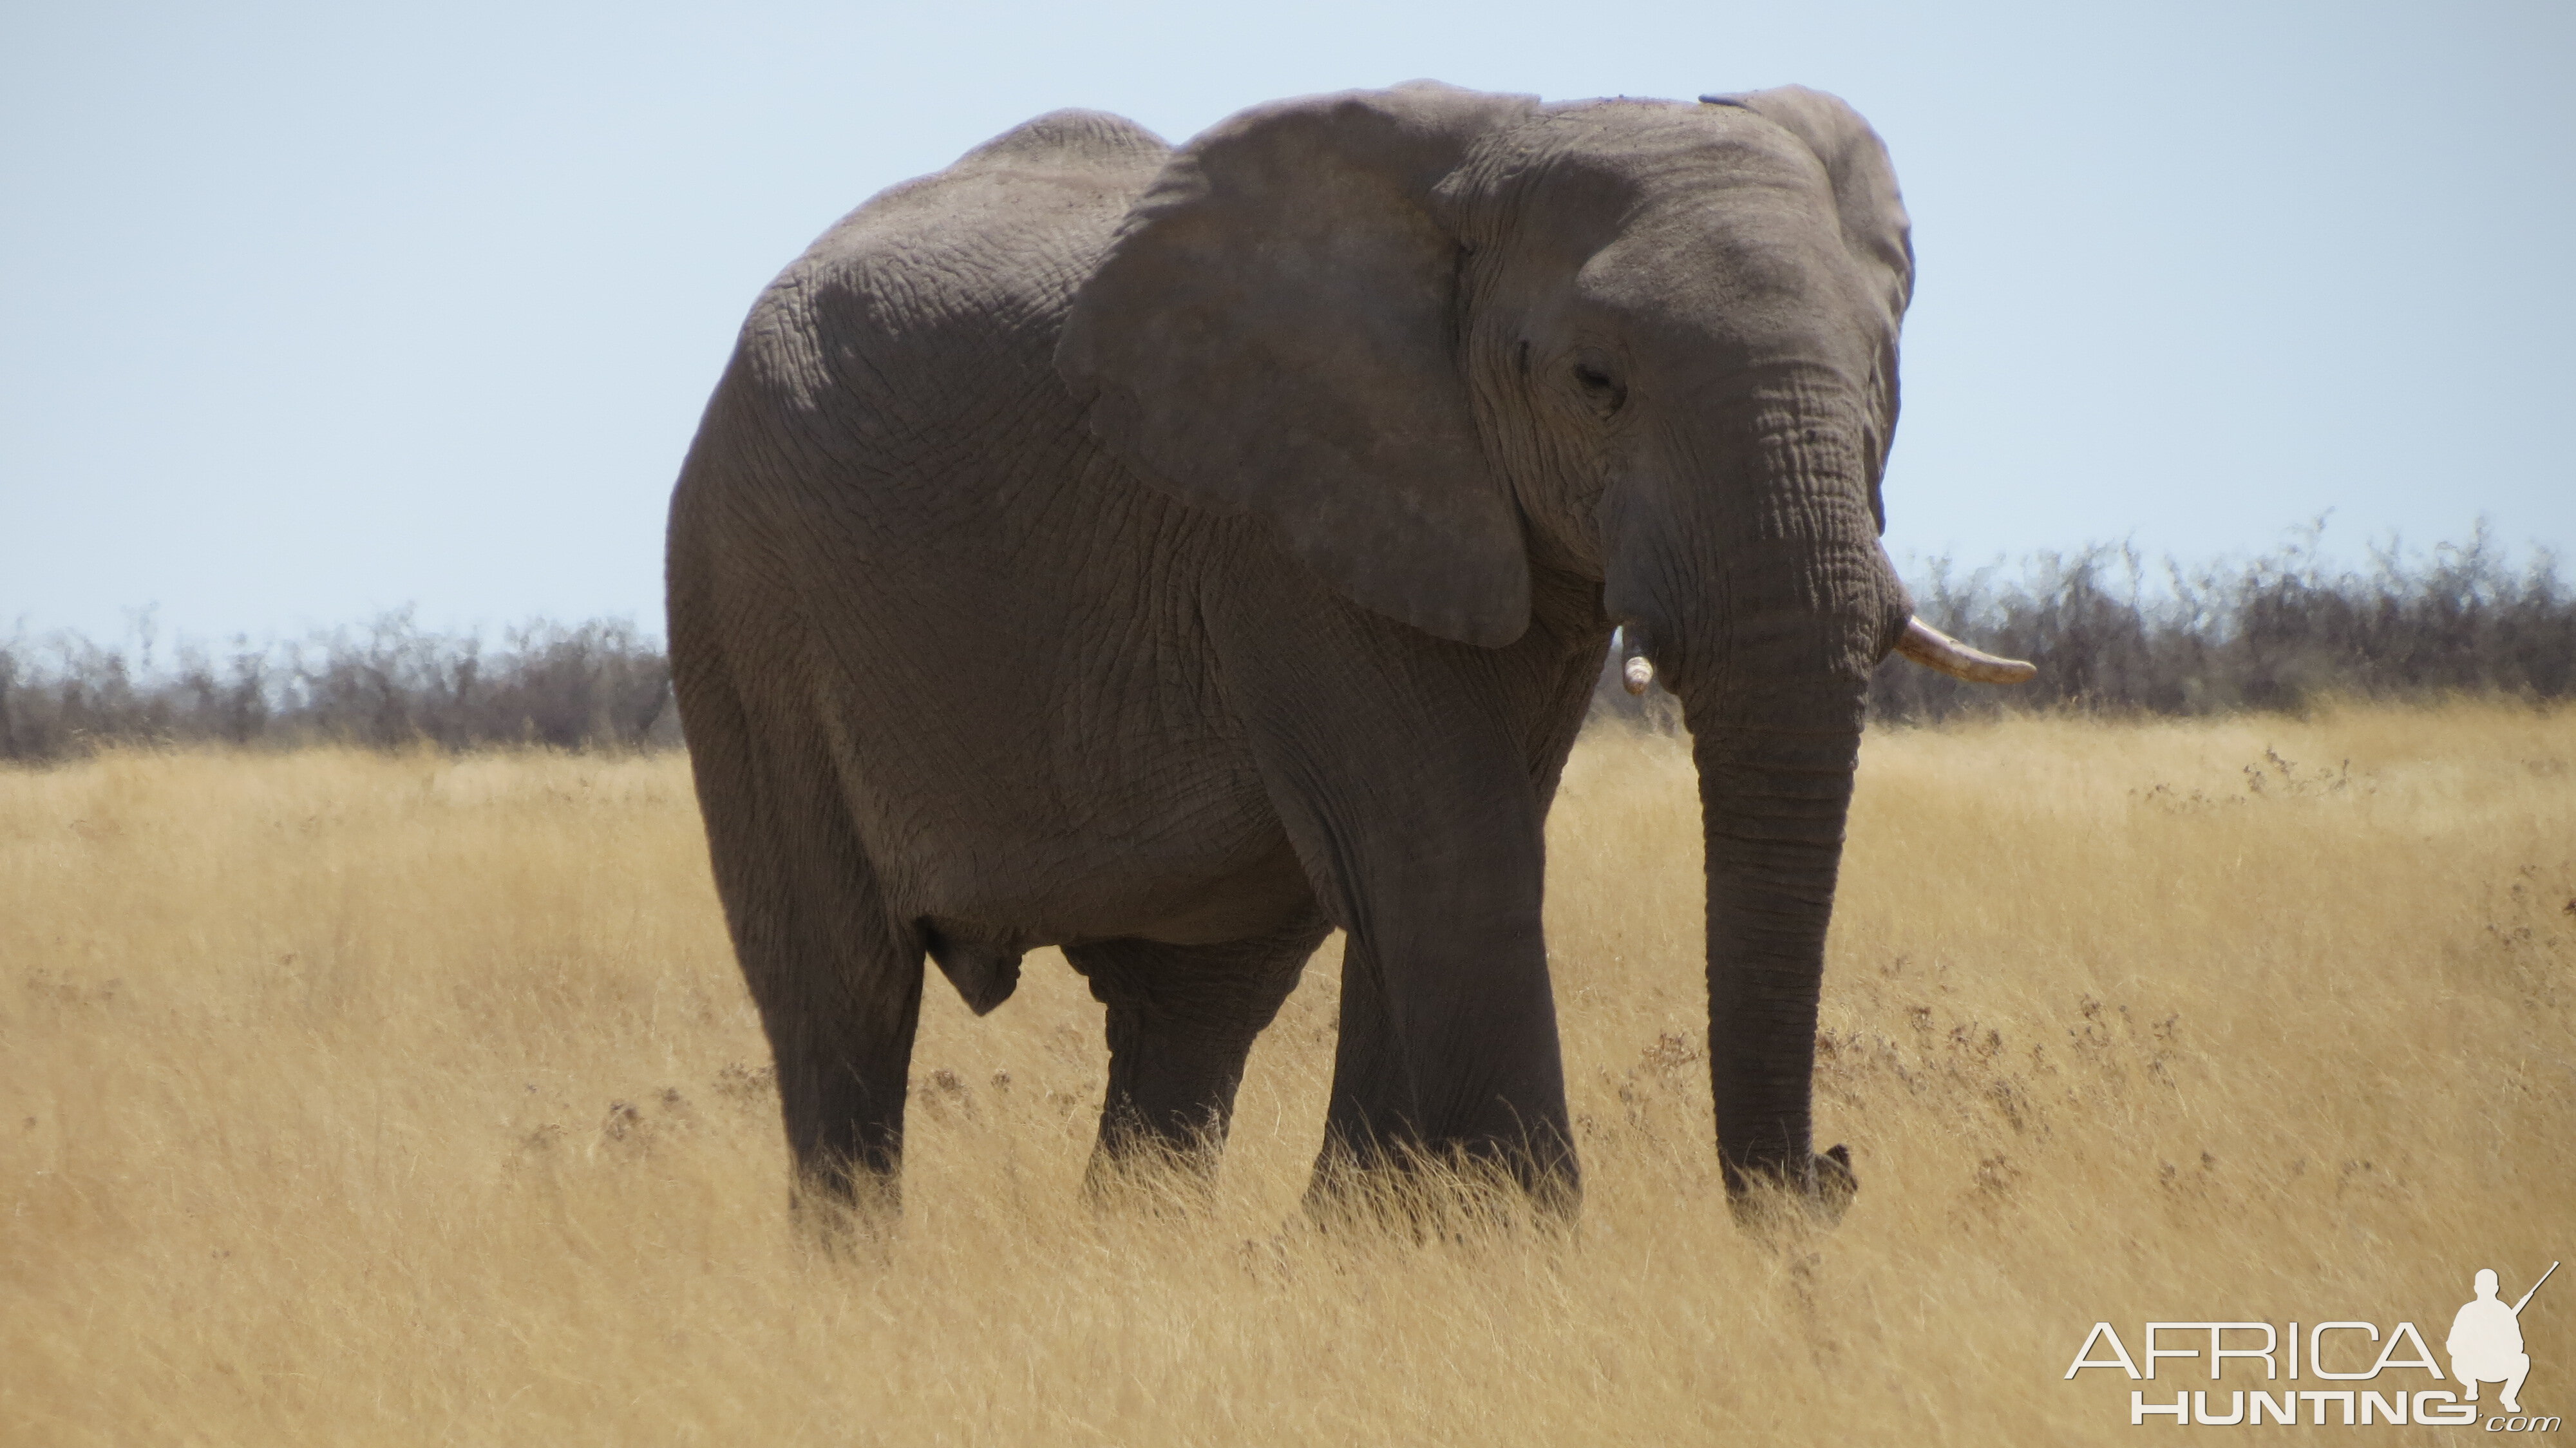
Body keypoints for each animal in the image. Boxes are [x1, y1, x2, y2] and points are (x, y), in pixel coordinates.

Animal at [670, 79, 2030, 1221]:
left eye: (1882, 373)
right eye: (1596, 380)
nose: (1829, 1176)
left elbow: (1440, 858)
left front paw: (1379, 1243)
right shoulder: (1288, 530)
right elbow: (1450, 850)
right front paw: (1511, 1242)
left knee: (1193, 1013)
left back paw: (1136, 1252)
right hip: (741, 598)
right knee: (843, 992)